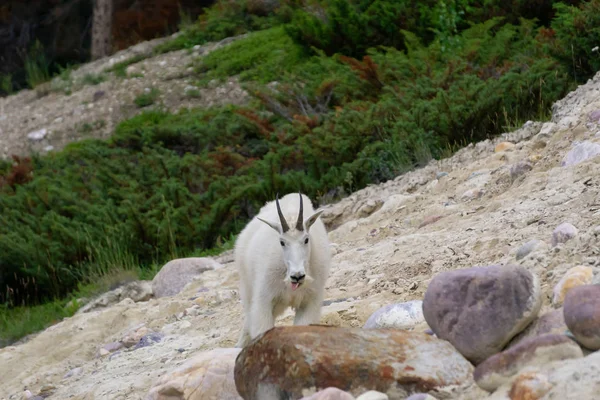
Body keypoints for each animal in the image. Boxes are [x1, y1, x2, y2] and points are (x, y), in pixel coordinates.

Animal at [233, 191, 330, 346]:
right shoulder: (264, 299)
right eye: (282, 242)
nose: (297, 276)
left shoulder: (309, 301)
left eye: (306, 239)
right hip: (247, 288)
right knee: (249, 316)